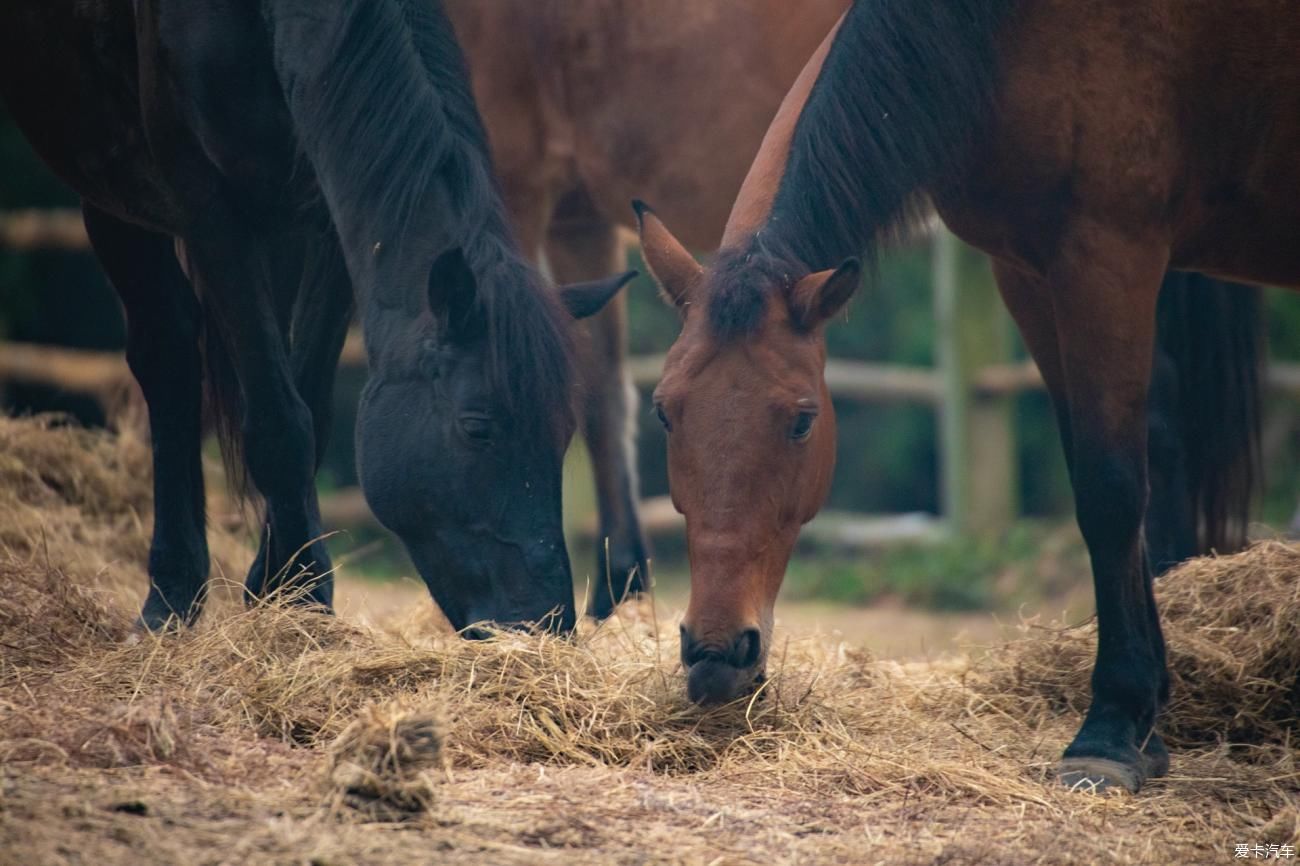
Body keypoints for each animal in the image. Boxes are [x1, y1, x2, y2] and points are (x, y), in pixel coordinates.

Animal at [0, 3, 629, 631]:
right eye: (478, 427)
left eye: (564, 431)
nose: (545, 622)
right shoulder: (211, 212)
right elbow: (281, 425)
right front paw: (302, 596)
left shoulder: (330, 223)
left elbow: (310, 409)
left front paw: (280, 590)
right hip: (113, 188)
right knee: (169, 357)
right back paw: (171, 597)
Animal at [637, 0, 1289, 790]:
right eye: (664, 411)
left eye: (802, 421)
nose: (715, 655)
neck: (997, 35)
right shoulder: (1032, 275)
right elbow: (1106, 482)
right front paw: (1145, 729)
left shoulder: (1108, 259)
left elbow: (1110, 492)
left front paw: (1107, 733)